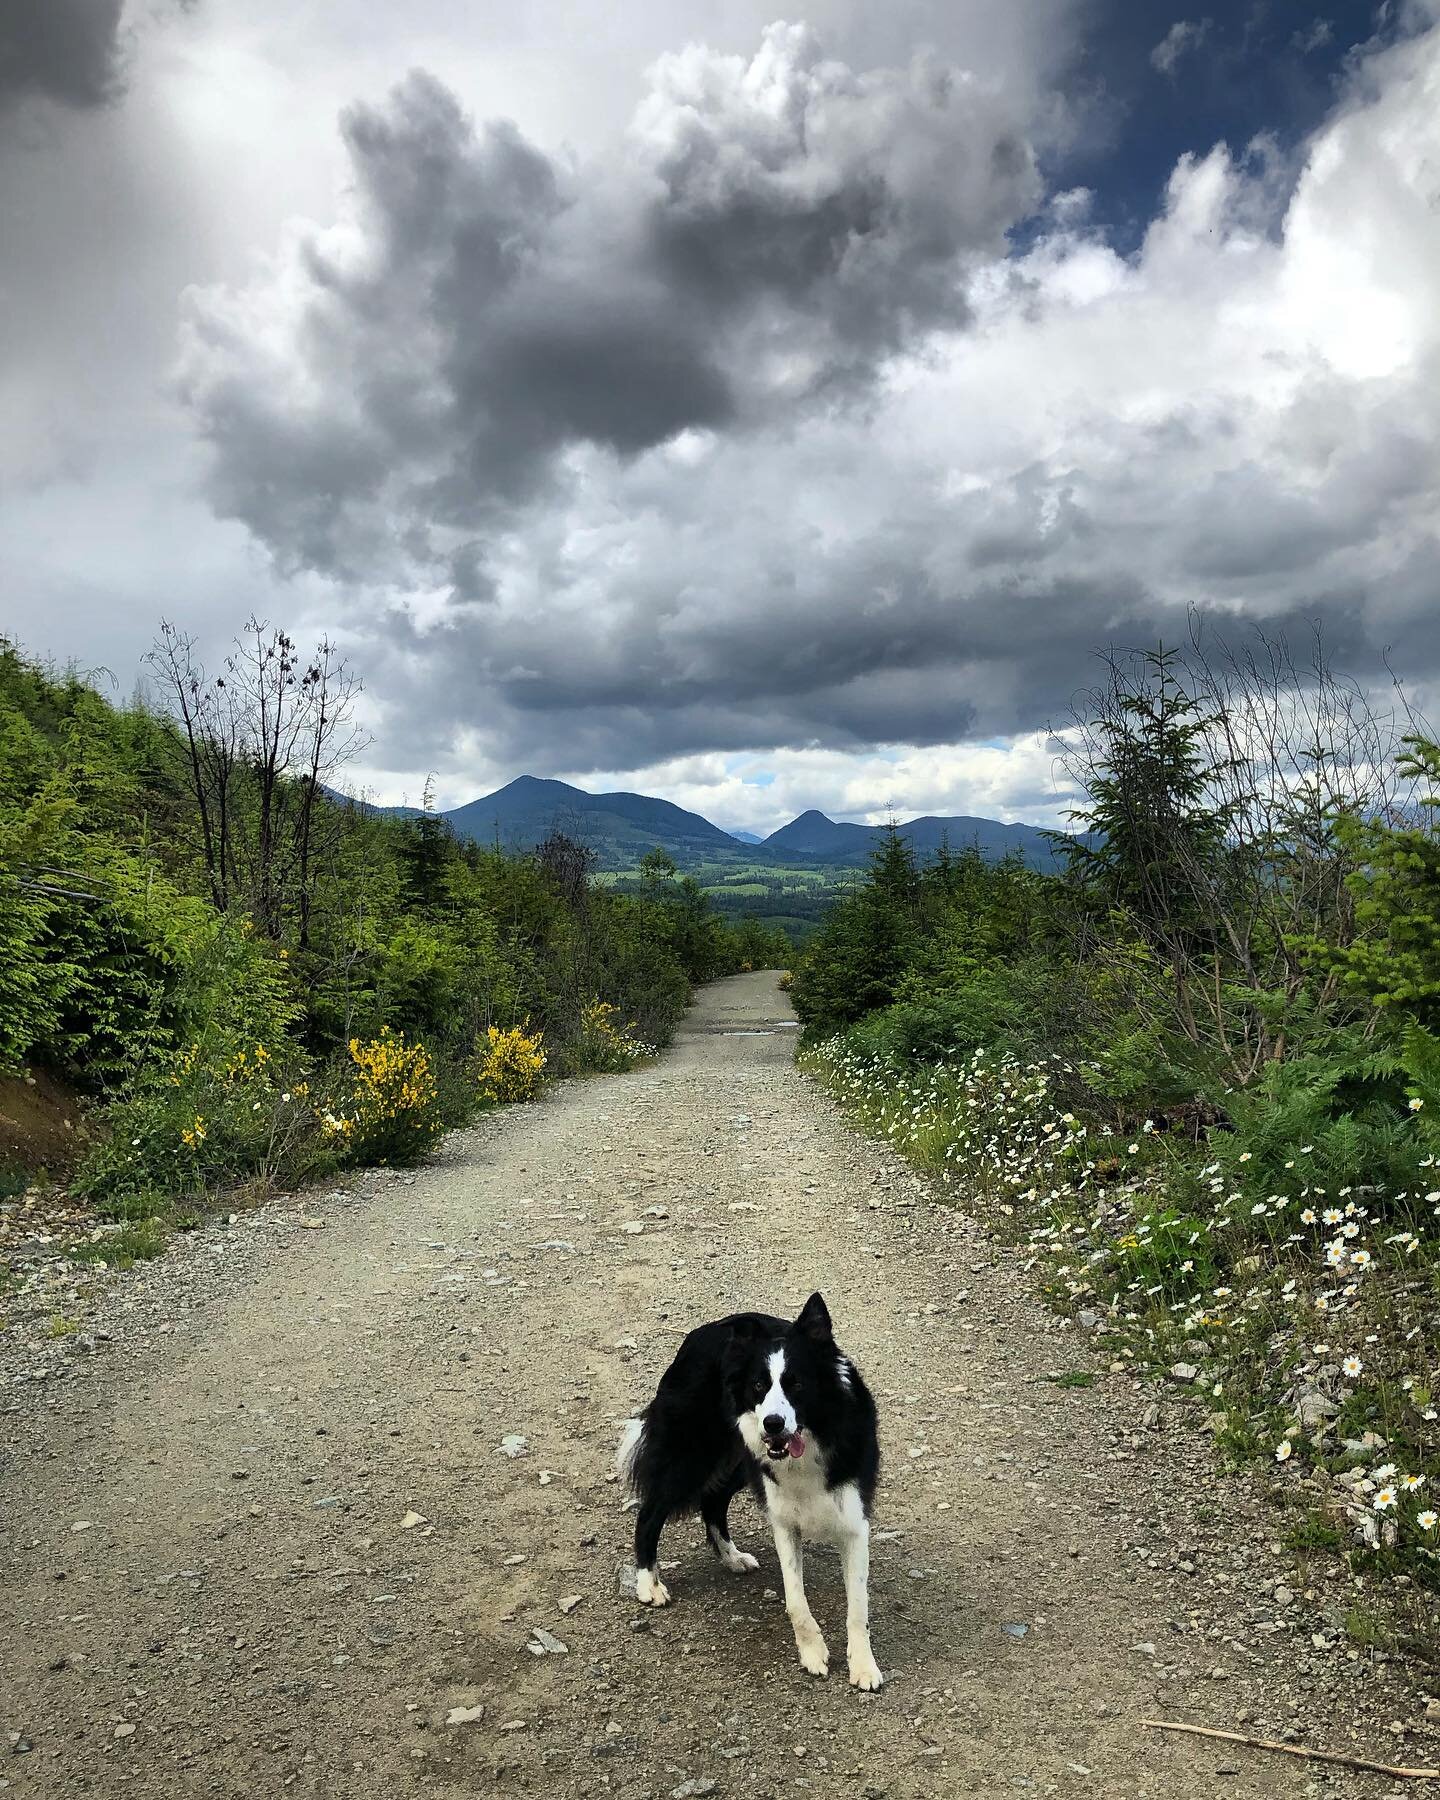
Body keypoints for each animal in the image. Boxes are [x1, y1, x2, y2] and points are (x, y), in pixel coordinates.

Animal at [612, 1296, 882, 1684]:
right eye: (758, 1386)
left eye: (796, 1384)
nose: (773, 1423)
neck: (813, 1438)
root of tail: (701, 1332)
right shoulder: (784, 1520)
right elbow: (795, 1599)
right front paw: (813, 1653)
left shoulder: (854, 1522)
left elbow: (858, 1606)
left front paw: (863, 1666)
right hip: (692, 1455)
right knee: (649, 1514)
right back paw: (649, 1583)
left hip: (737, 1462)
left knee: (712, 1502)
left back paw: (731, 1556)